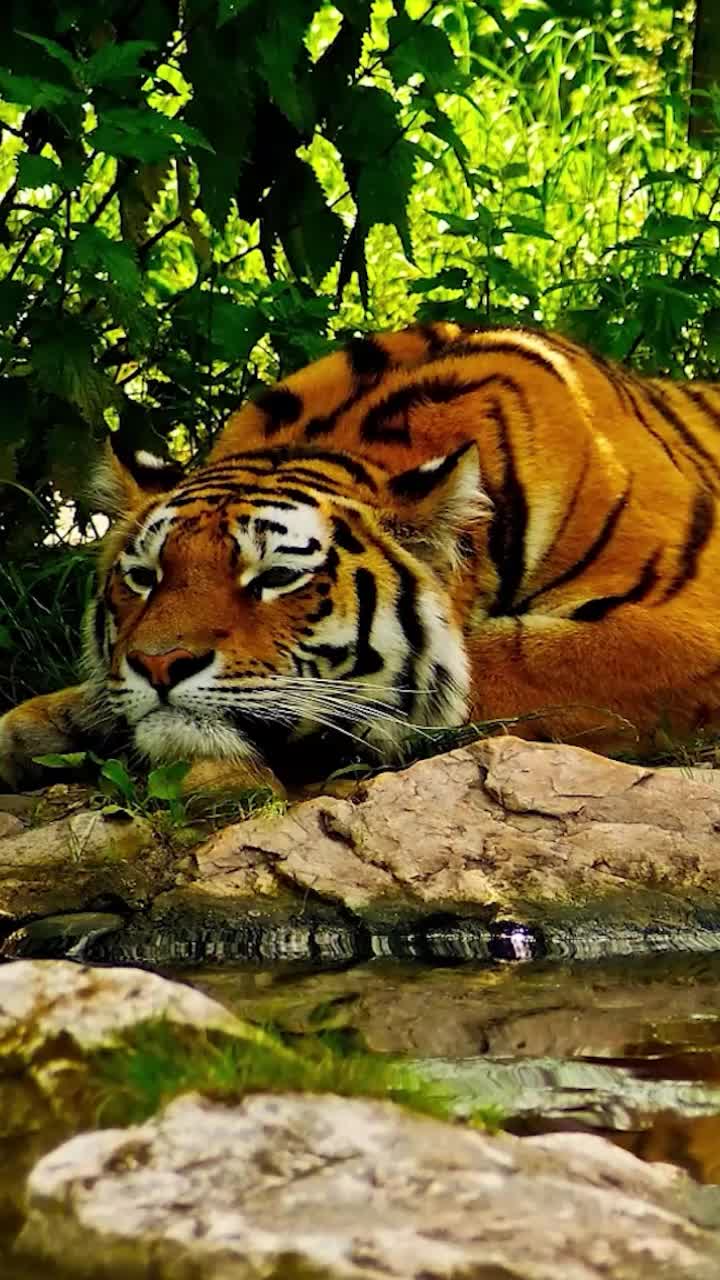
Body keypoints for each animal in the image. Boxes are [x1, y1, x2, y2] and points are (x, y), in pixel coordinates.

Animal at [3, 319, 720, 800]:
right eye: (144, 578)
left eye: (276, 578)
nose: (158, 666)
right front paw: (48, 722)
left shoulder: (682, 625)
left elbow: (507, 660)